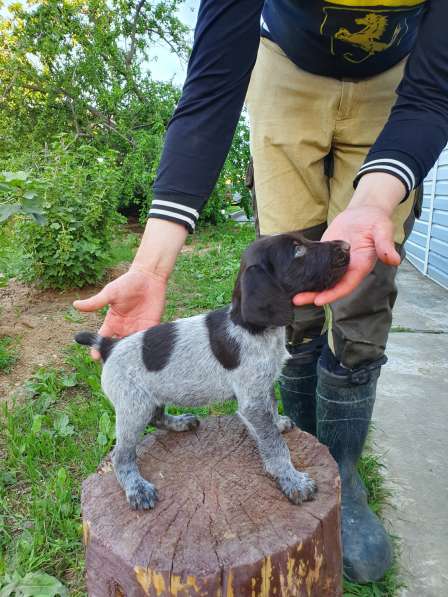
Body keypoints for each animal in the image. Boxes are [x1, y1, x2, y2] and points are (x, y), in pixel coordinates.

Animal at [75, 230, 350, 510]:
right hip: (133, 407)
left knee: (156, 417)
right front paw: (292, 480)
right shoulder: (252, 401)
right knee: (120, 455)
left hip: (149, 397)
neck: (252, 327)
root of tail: (109, 346)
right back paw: (137, 488)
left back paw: (179, 423)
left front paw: (278, 422)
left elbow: (271, 411)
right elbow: (274, 445)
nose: (346, 245)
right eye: (297, 251)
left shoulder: (262, 386)